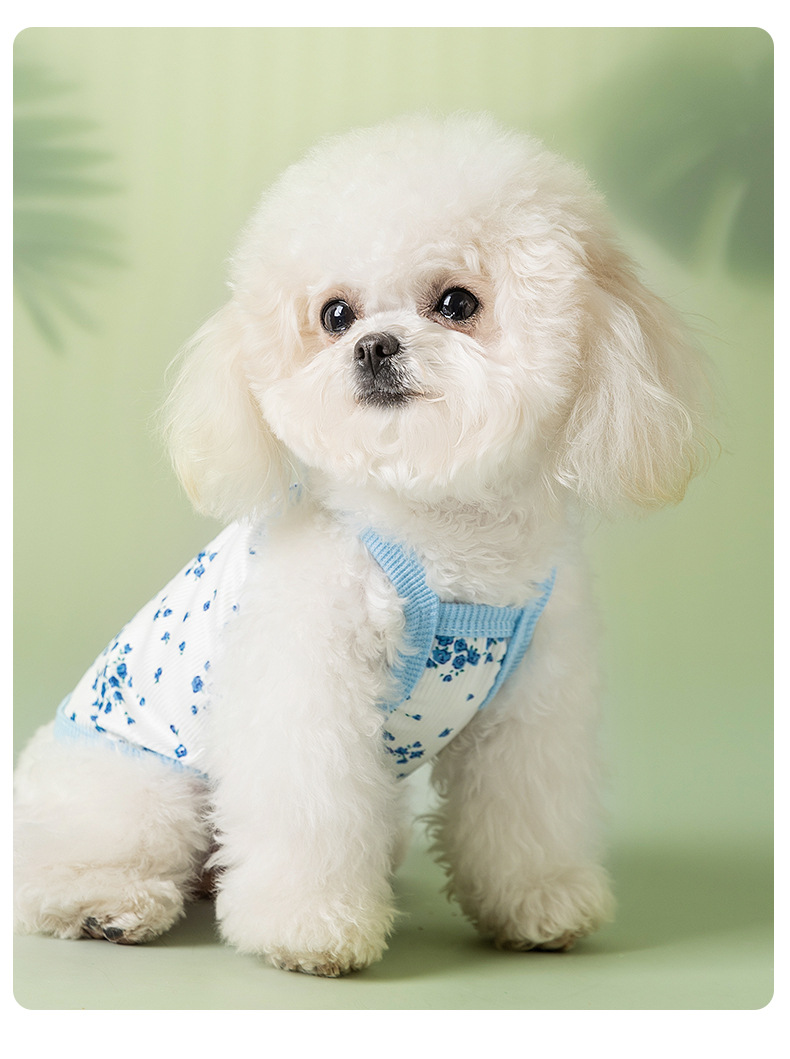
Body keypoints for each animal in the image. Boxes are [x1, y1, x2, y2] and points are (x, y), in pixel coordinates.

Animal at [13, 113, 708, 976]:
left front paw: (540, 902)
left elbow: (524, 811)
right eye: (335, 314)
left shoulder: (529, 707)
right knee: (67, 864)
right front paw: (312, 928)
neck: (441, 533)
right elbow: (309, 807)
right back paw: (107, 903)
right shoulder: (308, 692)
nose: (374, 345)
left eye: (456, 302)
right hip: (139, 786)